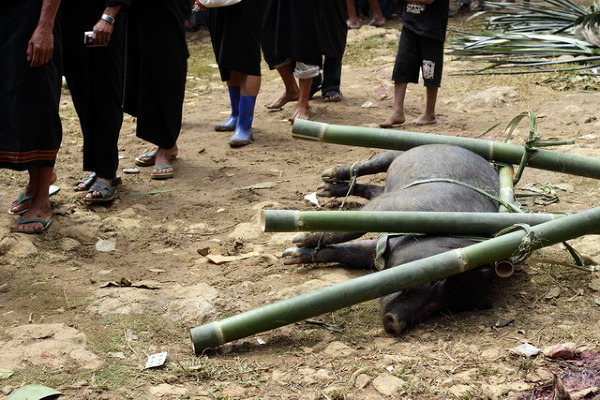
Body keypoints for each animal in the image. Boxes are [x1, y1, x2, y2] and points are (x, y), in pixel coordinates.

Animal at [284, 144, 500, 334]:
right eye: (436, 281)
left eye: (444, 308)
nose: (395, 323)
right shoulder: (394, 206)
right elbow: (350, 228)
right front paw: (297, 241)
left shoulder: (378, 249)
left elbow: (349, 252)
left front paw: (290, 255)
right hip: (396, 154)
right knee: (371, 164)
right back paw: (326, 179)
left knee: (369, 189)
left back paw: (326, 189)